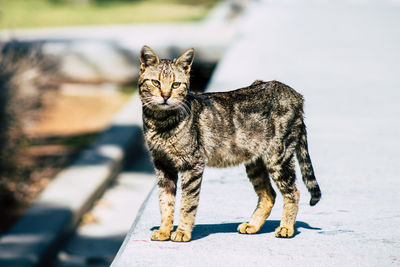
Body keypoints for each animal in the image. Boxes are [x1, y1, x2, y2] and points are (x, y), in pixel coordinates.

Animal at [139, 46, 320, 243]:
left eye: (175, 85)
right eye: (156, 83)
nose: (165, 96)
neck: (159, 122)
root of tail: (297, 96)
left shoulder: (192, 165)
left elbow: (188, 203)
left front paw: (182, 231)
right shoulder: (163, 165)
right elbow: (165, 202)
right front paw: (164, 230)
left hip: (278, 157)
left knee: (293, 192)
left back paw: (286, 227)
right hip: (255, 162)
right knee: (268, 195)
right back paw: (253, 225)